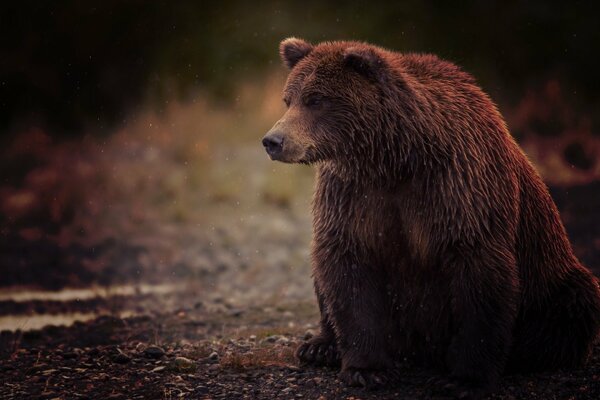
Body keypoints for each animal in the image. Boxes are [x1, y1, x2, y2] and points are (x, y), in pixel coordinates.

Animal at [262, 36, 600, 396]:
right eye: (288, 99)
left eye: (315, 99)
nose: (273, 141)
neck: (394, 159)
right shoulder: (353, 196)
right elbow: (348, 266)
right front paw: (366, 369)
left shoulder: (458, 188)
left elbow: (478, 275)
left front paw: (464, 378)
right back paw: (320, 346)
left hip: (552, 281)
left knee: (572, 306)